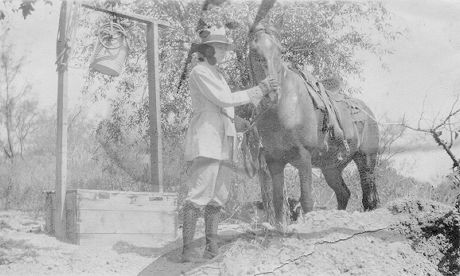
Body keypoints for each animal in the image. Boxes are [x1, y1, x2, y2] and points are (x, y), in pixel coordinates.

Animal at [250, 24, 380, 226]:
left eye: (280, 51)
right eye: (254, 50)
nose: (272, 93)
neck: (286, 106)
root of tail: (368, 112)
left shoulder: (304, 158)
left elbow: (307, 200)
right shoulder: (274, 160)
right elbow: (278, 200)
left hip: (366, 160)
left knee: (369, 198)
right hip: (331, 168)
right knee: (344, 193)